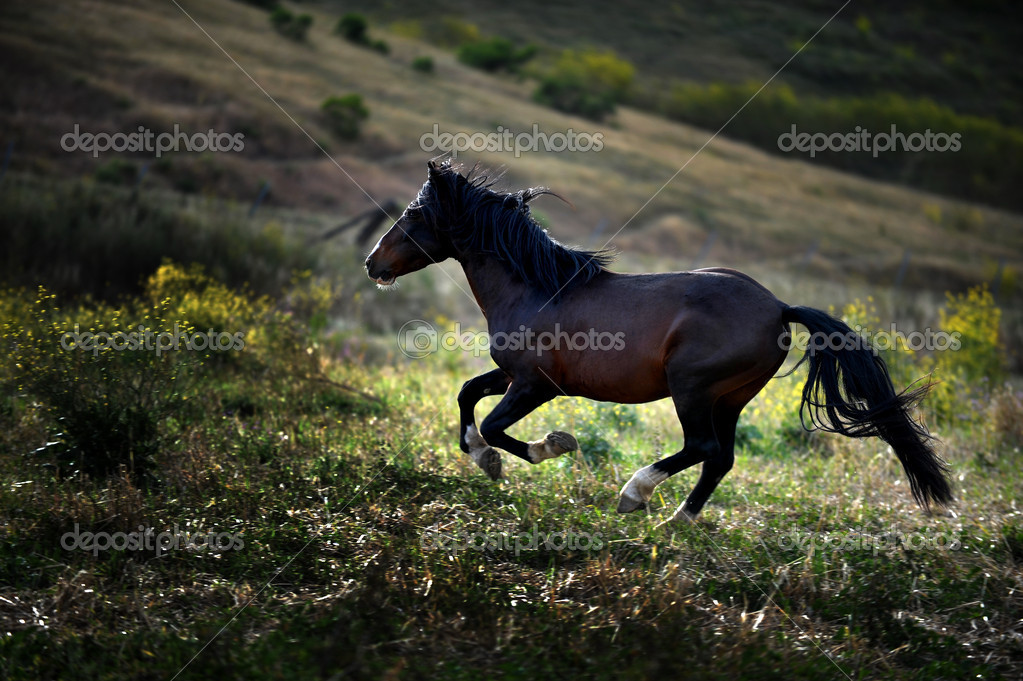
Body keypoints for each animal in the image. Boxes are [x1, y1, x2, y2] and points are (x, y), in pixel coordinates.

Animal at [364, 161, 953, 521]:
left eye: (414, 214)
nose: (372, 263)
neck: (536, 288)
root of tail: (779, 308)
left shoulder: (536, 385)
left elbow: (492, 424)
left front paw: (546, 447)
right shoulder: (513, 375)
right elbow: (467, 394)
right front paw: (483, 458)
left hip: (692, 387)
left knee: (703, 448)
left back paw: (635, 493)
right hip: (731, 398)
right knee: (720, 459)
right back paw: (679, 519)